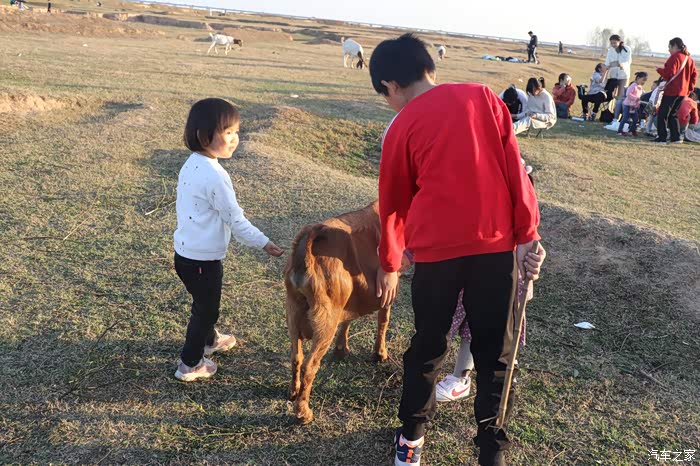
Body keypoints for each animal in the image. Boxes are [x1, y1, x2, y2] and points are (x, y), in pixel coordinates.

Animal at [285, 201, 409, 424]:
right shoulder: (389, 289)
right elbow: (383, 321)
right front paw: (380, 354)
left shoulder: (348, 301)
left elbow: (347, 320)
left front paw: (341, 349)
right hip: (325, 322)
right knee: (310, 364)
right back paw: (303, 412)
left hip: (293, 311)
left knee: (296, 356)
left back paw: (293, 391)